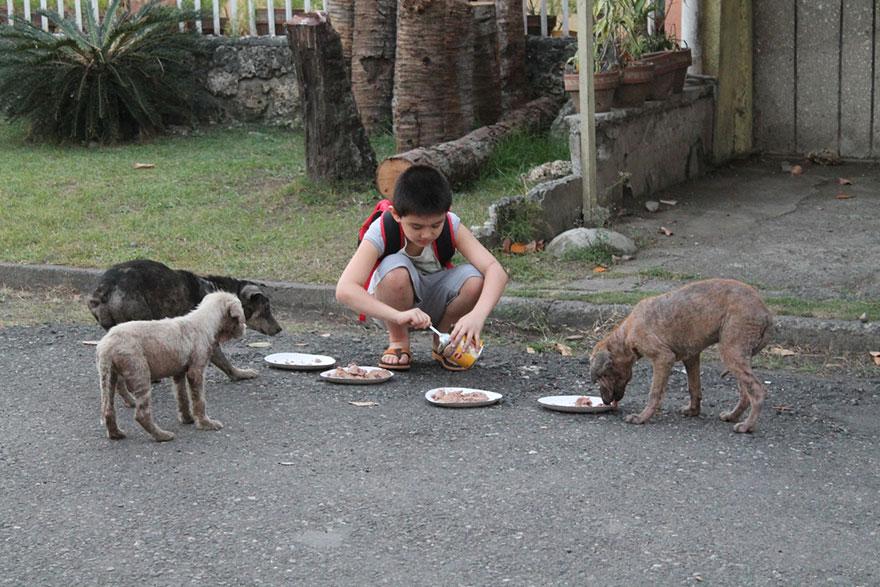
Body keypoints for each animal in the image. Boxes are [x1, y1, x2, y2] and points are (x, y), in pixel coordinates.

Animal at [87, 260, 280, 382]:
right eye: (267, 309)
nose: (279, 329)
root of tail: (105, 290)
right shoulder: (208, 339)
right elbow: (224, 362)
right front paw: (240, 374)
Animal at [96, 292, 246, 444]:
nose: (244, 329)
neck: (205, 320)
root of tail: (107, 346)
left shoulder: (179, 372)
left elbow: (182, 396)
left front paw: (187, 418)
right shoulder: (196, 371)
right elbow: (199, 400)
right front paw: (206, 423)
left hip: (109, 376)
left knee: (108, 409)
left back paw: (115, 434)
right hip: (139, 373)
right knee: (141, 414)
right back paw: (162, 435)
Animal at [592, 278, 768, 434]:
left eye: (603, 376)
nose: (605, 401)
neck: (626, 335)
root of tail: (766, 312)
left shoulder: (663, 358)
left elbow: (655, 393)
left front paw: (642, 418)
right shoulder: (691, 357)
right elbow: (694, 387)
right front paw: (693, 410)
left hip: (731, 351)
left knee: (757, 390)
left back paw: (747, 426)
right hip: (737, 355)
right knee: (745, 393)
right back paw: (733, 416)